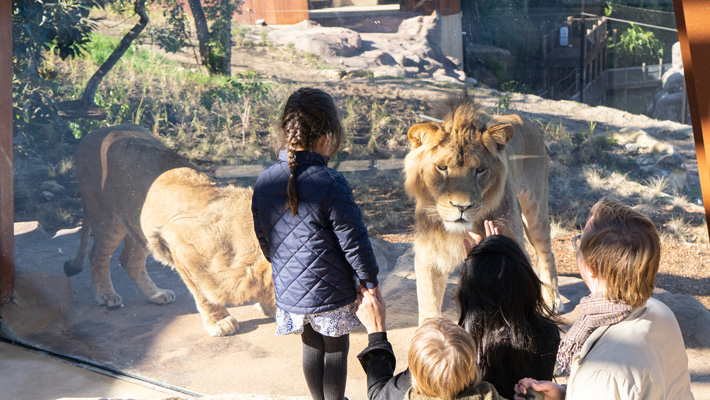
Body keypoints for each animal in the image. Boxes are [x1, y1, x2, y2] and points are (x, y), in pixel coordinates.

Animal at [64, 124, 276, 334]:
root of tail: (91, 134)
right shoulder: (177, 241)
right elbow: (203, 292)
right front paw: (219, 321)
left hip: (140, 227)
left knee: (130, 260)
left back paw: (156, 294)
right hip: (108, 220)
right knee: (96, 255)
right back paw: (107, 296)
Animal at [406, 94, 560, 324]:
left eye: (479, 170)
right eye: (442, 168)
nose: (462, 206)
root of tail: (526, 119)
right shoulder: (429, 255)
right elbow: (429, 308)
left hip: (535, 207)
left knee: (546, 253)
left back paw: (553, 300)